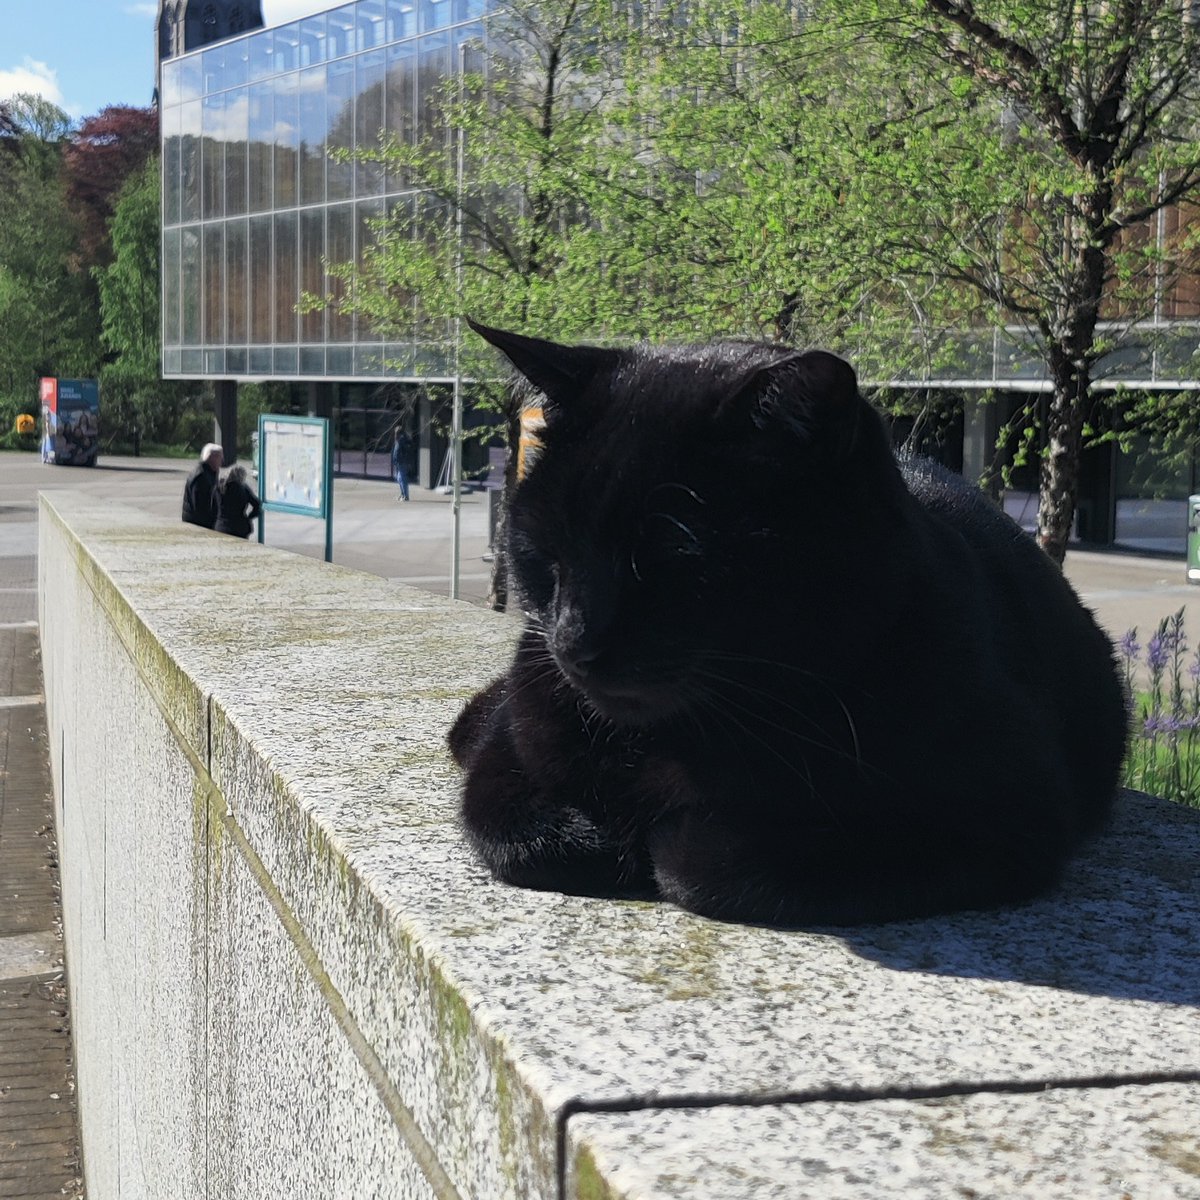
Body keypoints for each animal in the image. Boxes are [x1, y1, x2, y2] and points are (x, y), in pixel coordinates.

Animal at [446, 321, 1128, 926]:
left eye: (671, 558)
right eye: (545, 550)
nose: (574, 641)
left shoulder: (1008, 816)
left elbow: (702, 857)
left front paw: (661, 837)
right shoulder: (510, 745)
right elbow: (513, 825)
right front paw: (597, 835)